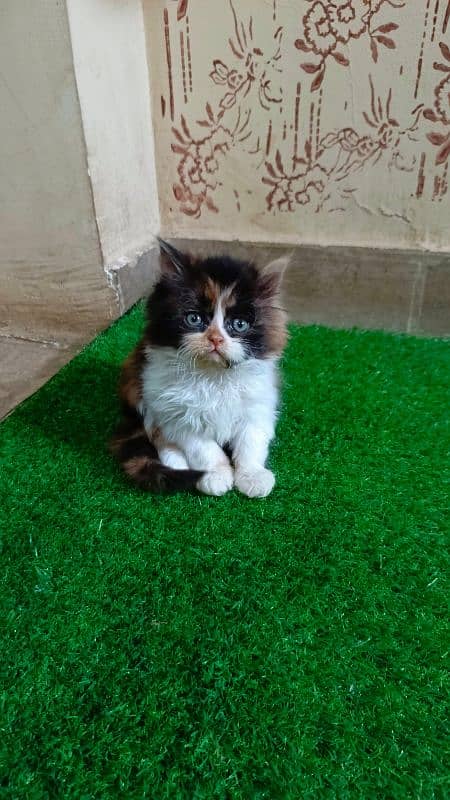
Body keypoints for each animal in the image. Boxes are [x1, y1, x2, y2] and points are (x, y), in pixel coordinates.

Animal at [111, 241, 290, 496]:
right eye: (194, 319)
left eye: (239, 325)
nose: (215, 339)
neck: (213, 376)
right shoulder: (175, 414)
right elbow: (204, 449)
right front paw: (214, 476)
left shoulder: (258, 406)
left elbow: (251, 443)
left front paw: (253, 476)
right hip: (139, 390)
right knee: (158, 438)